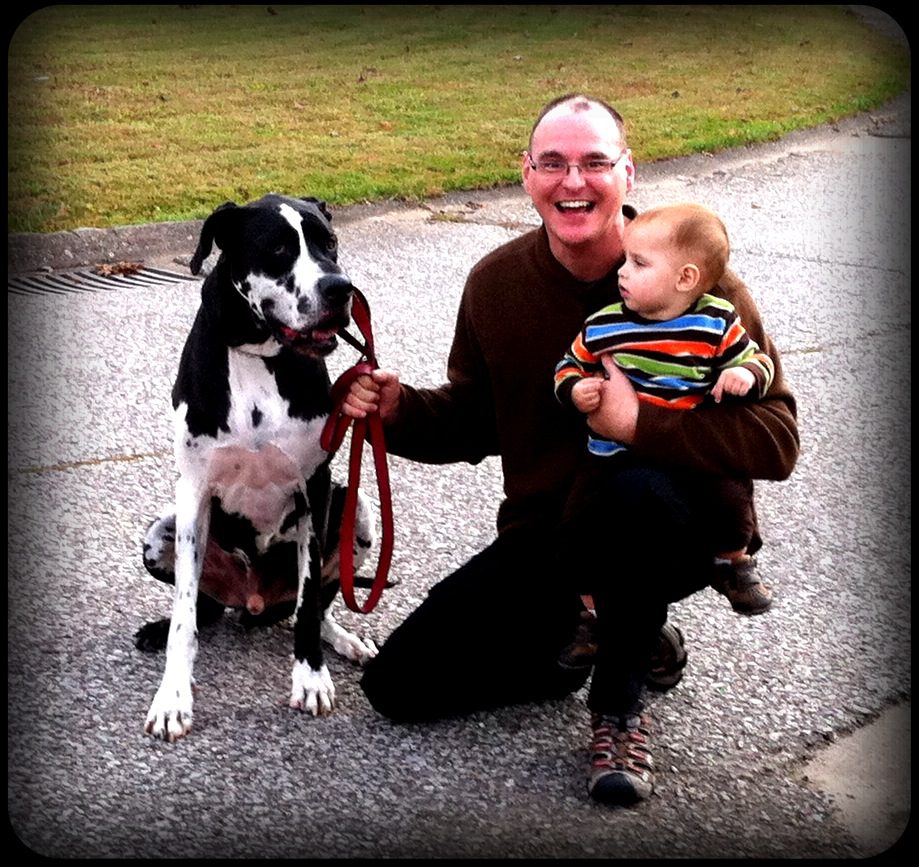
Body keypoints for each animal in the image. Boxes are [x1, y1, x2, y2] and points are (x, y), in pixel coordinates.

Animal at [136, 193, 378, 744]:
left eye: (330, 242)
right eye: (278, 249)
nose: (340, 288)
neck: (257, 355)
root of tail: (254, 602)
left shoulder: (315, 488)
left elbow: (309, 604)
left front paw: (311, 677)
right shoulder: (193, 492)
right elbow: (185, 615)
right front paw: (173, 697)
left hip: (357, 511)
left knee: (315, 604)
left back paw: (344, 639)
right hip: (162, 529)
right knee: (205, 608)